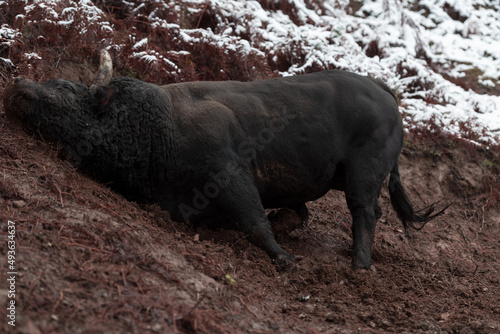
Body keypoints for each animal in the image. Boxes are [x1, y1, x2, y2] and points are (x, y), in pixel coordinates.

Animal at [0, 70, 446, 268]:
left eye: (64, 87)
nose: (17, 86)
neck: (161, 123)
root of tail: (383, 91)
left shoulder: (228, 176)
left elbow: (255, 221)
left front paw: (284, 258)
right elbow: (286, 214)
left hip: (362, 176)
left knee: (365, 213)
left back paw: (359, 265)